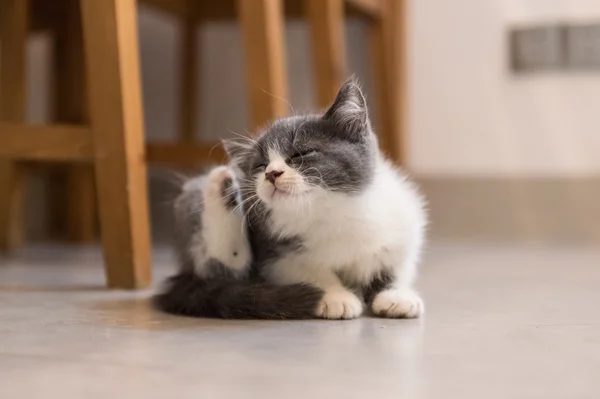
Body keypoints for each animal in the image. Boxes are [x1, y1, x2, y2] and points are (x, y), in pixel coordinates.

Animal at [155, 79, 426, 320]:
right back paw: (221, 188)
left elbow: (395, 265)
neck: (331, 211)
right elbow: (309, 269)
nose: (271, 174)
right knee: (224, 268)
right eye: (260, 165)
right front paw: (334, 296)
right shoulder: (277, 253)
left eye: (300, 154)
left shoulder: (402, 225)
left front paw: (395, 296)